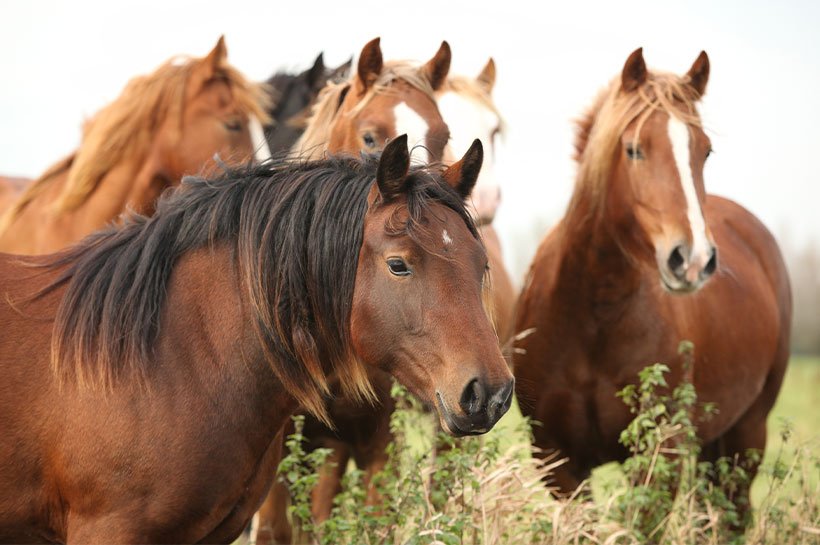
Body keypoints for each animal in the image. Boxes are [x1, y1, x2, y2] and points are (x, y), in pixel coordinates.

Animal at [516, 50, 792, 524]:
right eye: (633, 149)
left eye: (705, 151)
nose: (694, 260)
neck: (592, 316)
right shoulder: (558, 464)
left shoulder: (657, 458)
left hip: (747, 436)